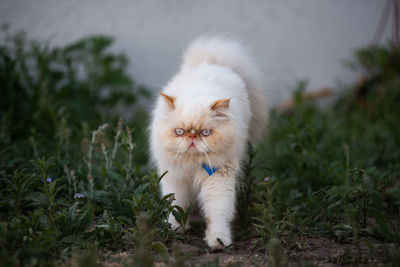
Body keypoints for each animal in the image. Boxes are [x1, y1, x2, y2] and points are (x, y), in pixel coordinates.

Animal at [150, 36, 268, 250]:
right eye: (180, 132)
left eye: (205, 132)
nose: (192, 137)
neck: (193, 163)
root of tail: (211, 63)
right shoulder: (175, 179)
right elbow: (175, 206)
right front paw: (174, 230)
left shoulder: (219, 180)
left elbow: (218, 213)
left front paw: (219, 241)